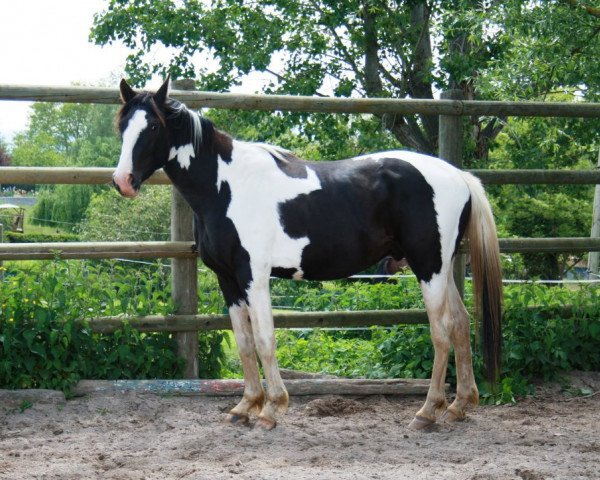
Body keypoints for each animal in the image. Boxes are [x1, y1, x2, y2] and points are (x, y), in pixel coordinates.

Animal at [111, 79, 502, 432]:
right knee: (461, 324)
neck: (225, 186)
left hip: (428, 267)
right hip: (440, 267)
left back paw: (428, 412)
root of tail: (459, 175)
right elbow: (244, 342)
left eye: (153, 126)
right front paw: (245, 407)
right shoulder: (228, 278)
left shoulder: (254, 276)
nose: (123, 181)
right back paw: (459, 406)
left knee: (442, 331)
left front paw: (271, 409)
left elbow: (265, 339)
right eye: (122, 126)